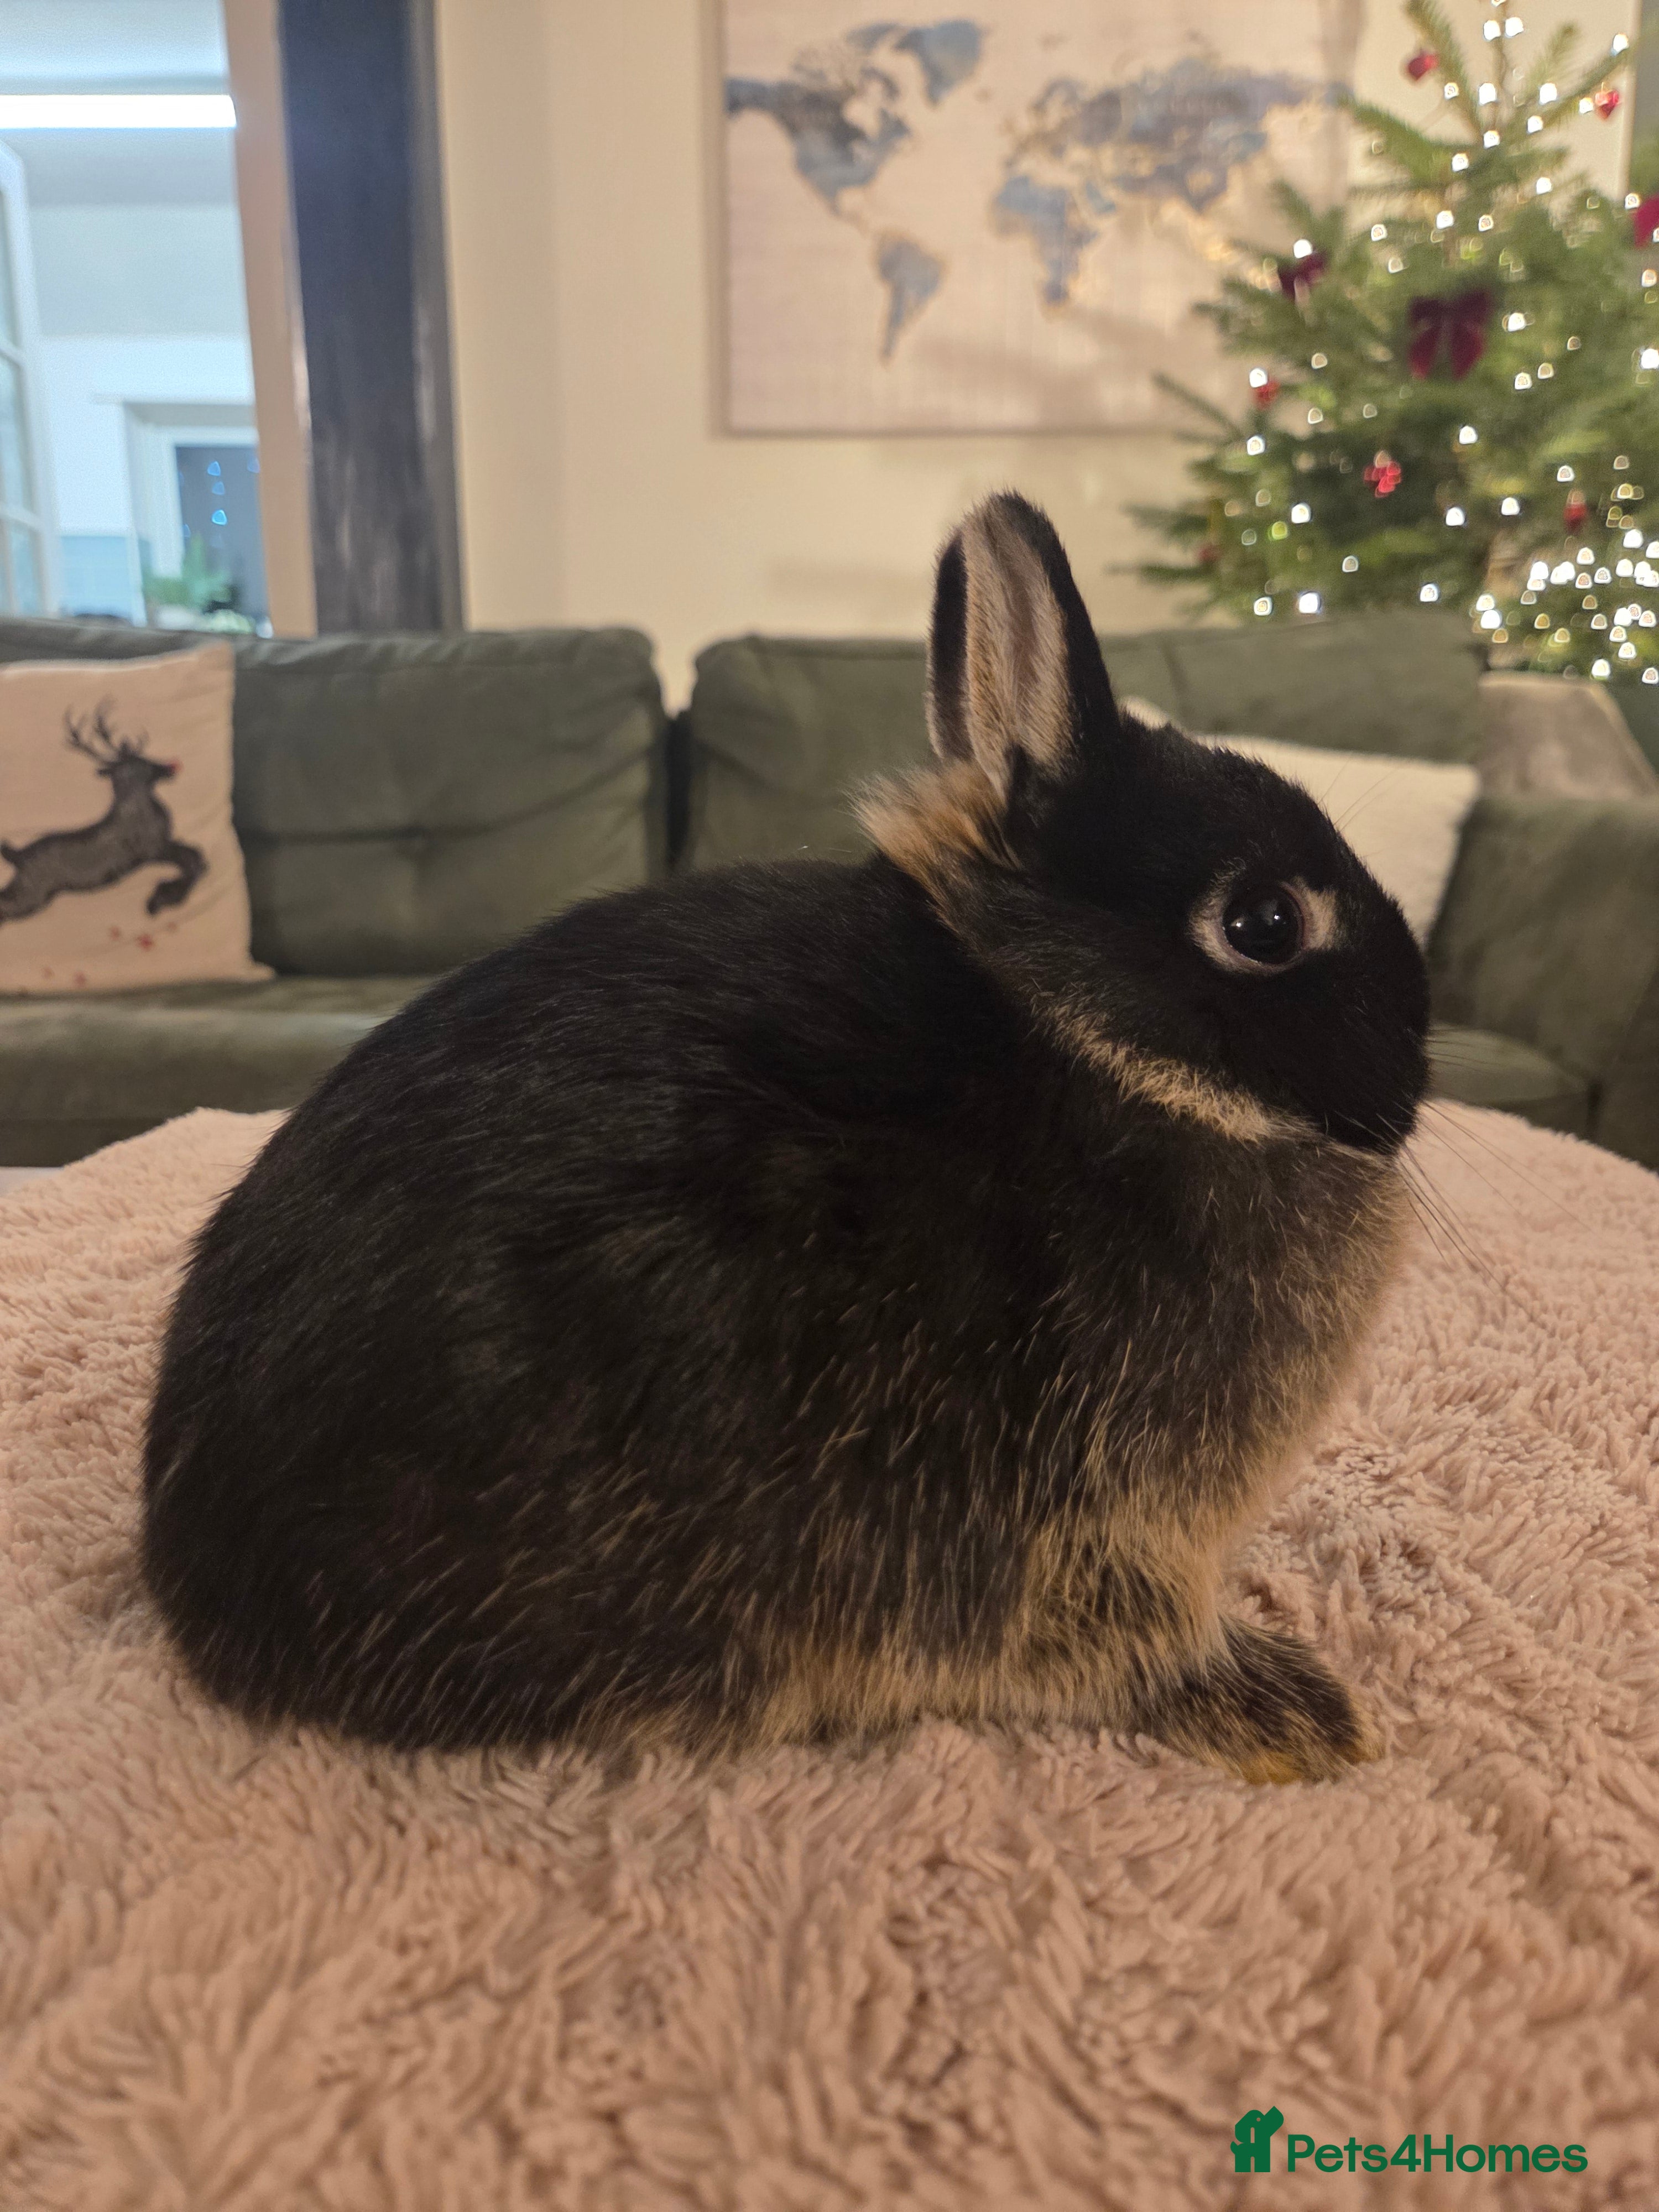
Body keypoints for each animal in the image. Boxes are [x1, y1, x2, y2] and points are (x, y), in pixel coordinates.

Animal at [142, 492, 1428, 1785]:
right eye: (1264, 923)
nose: (1414, 1073)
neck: (1084, 1041)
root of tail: (198, 1596)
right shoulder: (1089, 1533)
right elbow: (1130, 1643)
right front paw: (1297, 1716)